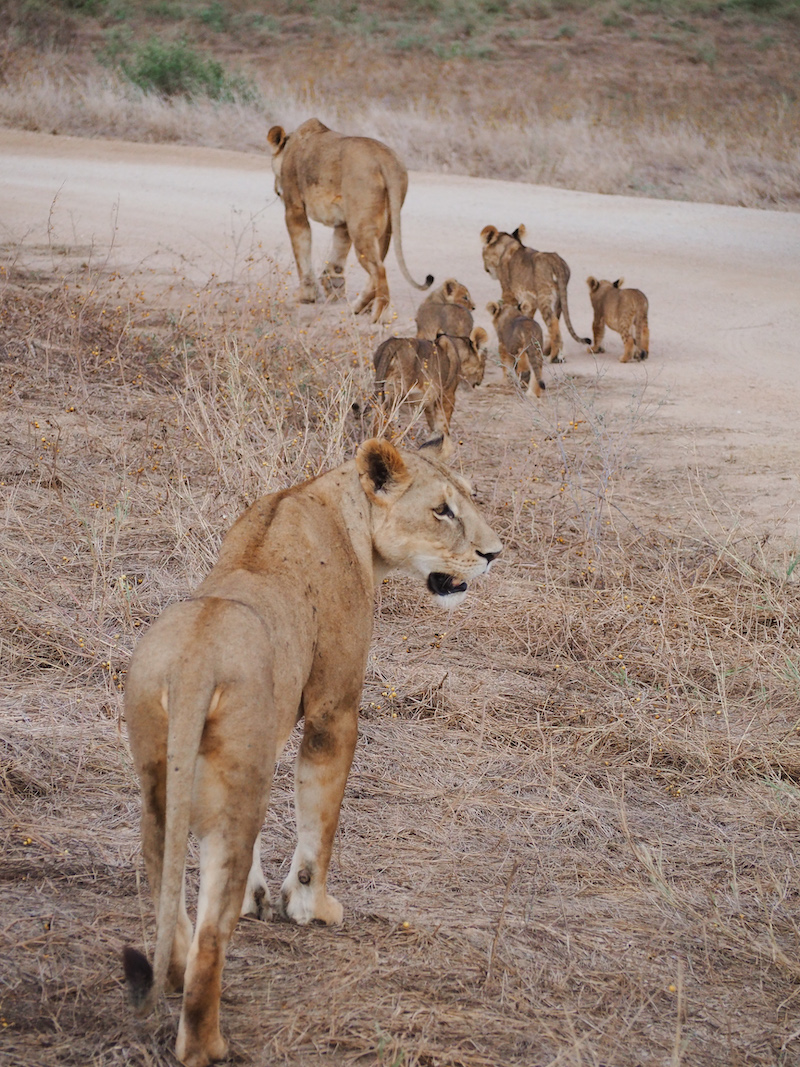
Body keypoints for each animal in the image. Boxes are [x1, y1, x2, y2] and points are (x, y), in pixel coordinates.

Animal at [267, 118, 433, 320]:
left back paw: (379, 315)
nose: (276, 189)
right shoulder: (343, 221)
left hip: (360, 226)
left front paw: (306, 295)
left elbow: (302, 254)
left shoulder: (294, 209)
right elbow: (337, 257)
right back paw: (358, 307)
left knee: (379, 269)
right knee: (378, 265)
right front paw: (334, 288)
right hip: (382, 224)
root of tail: (386, 159)